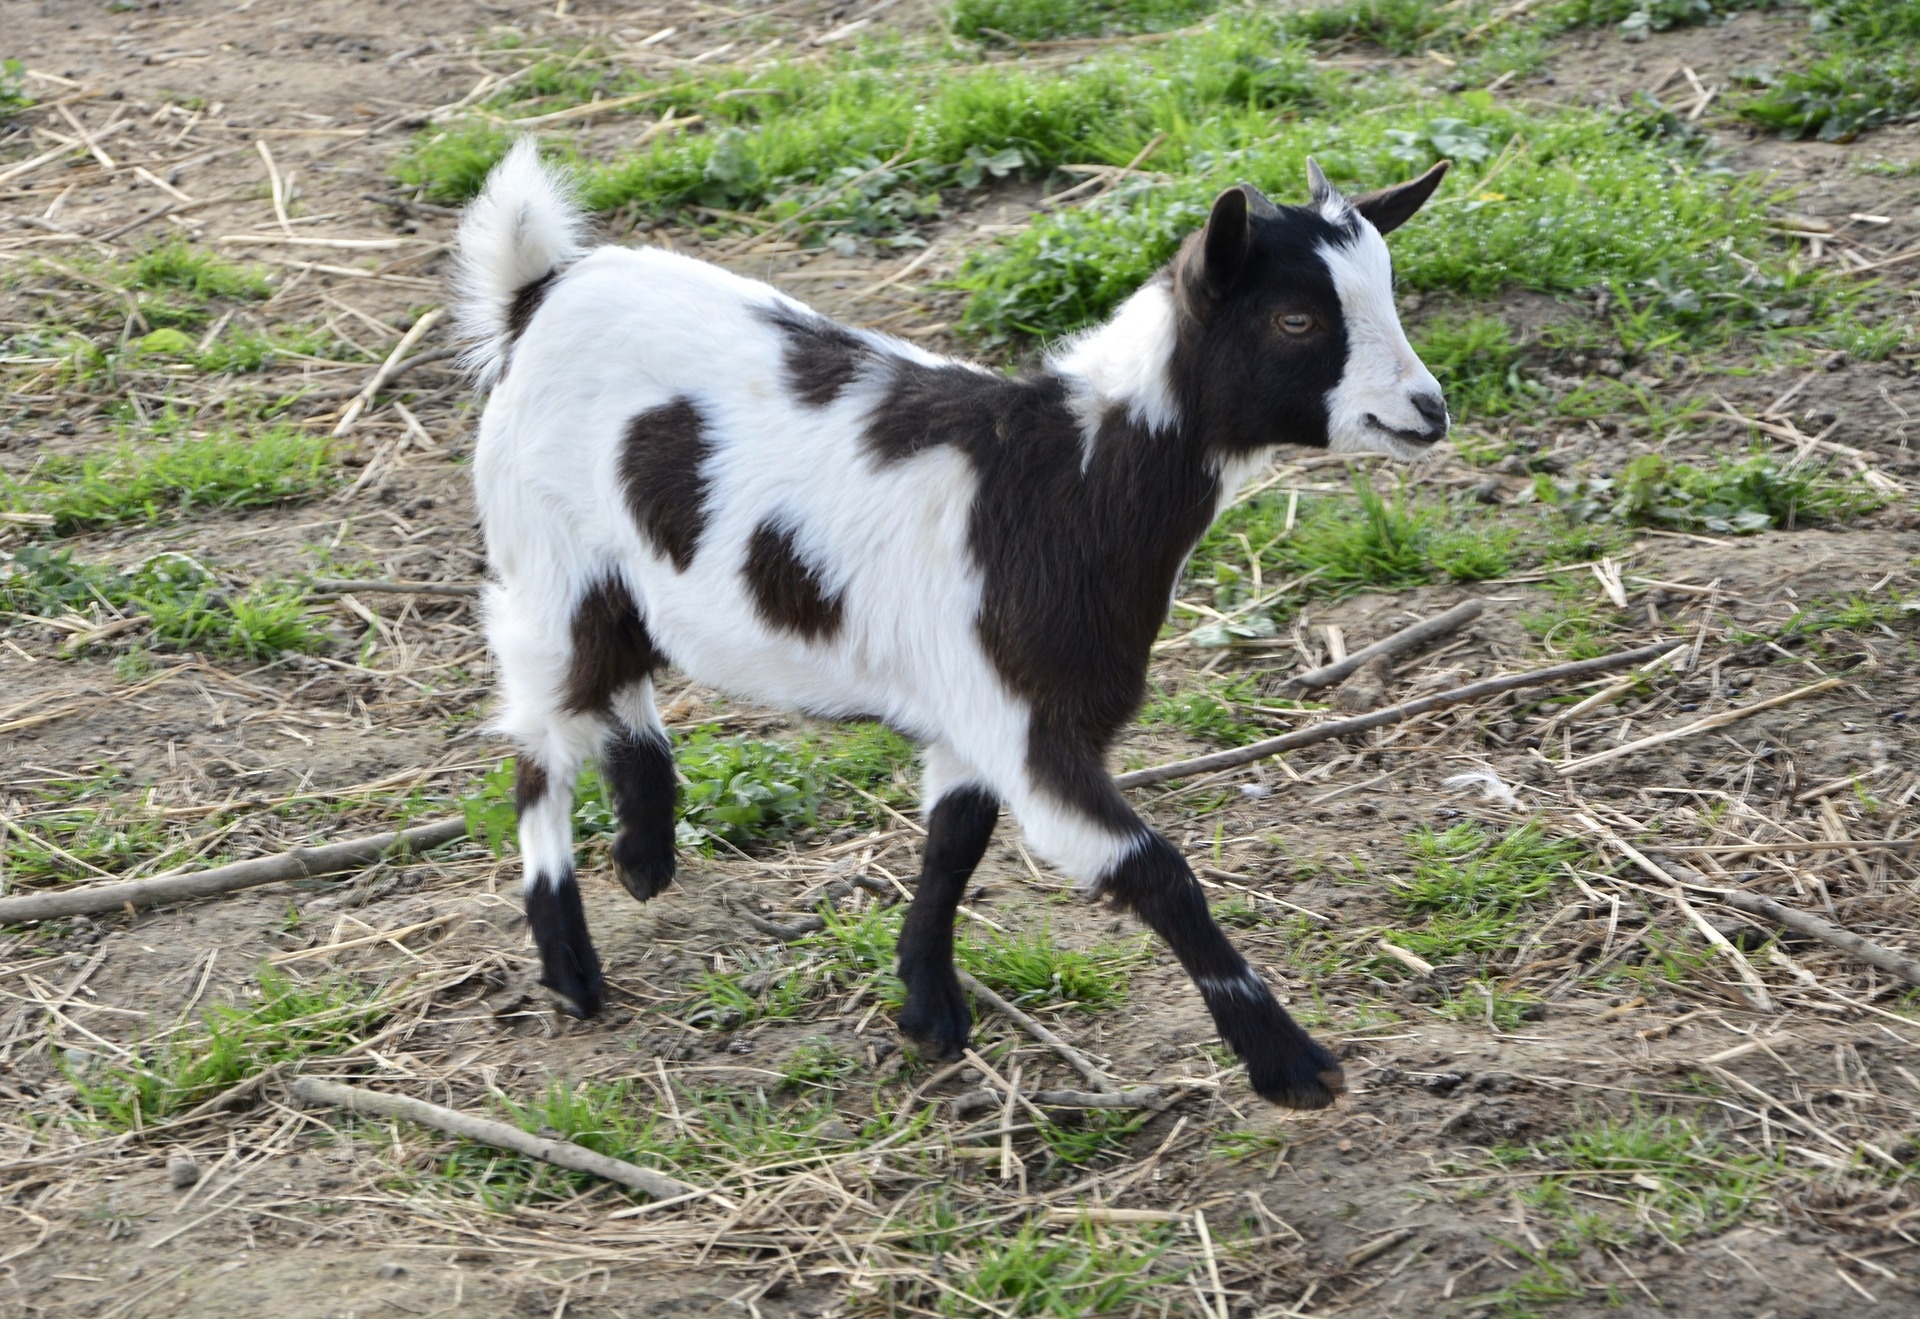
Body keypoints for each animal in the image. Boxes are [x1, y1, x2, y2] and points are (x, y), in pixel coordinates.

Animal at [456, 142, 1443, 1113]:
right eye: (1295, 320)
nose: (1429, 409)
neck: (1069, 479)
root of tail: (540, 289)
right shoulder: (1024, 720)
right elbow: (1155, 871)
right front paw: (1291, 1063)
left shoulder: (975, 711)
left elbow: (954, 844)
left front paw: (928, 1010)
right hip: (544, 562)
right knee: (541, 745)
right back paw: (572, 968)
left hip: (614, 577)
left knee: (615, 678)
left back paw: (645, 851)